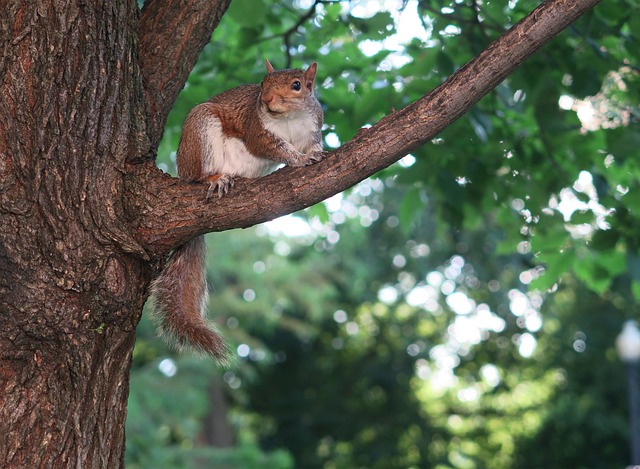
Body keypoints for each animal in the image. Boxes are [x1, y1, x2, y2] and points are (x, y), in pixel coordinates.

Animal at [150, 60, 325, 363]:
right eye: (263, 82)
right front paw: (299, 159)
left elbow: (312, 144)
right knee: (199, 177)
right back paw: (215, 178)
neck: (290, 118)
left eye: (297, 85)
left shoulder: (313, 127)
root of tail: (183, 170)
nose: (266, 99)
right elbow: (279, 149)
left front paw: (316, 153)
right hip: (201, 131)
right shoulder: (258, 131)